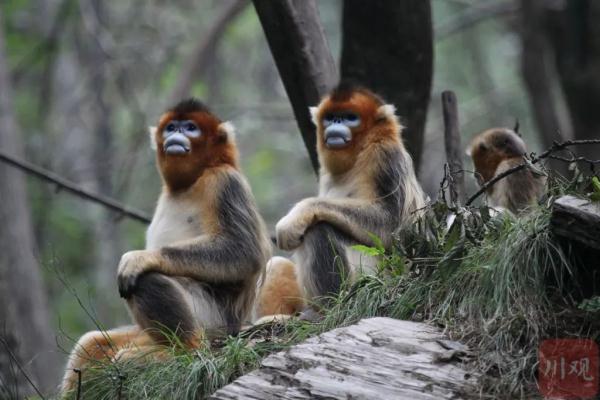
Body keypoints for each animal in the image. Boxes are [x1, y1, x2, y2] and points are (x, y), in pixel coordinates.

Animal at [62, 99, 270, 390]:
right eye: (172, 127)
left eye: (191, 127)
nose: (176, 134)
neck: (190, 182)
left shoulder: (224, 182)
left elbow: (244, 251)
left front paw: (141, 257)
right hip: (145, 334)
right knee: (91, 342)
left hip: (211, 321)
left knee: (147, 280)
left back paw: (183, 351)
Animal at [255, 83, 424, 318]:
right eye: (331, 117)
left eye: (350, 117)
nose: (336, 124)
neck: (360, 151)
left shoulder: (384, 155)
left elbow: (392, 224)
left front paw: (295, 218)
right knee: (277, 263)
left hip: (368, 279)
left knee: (319, 229)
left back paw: (328, 308)